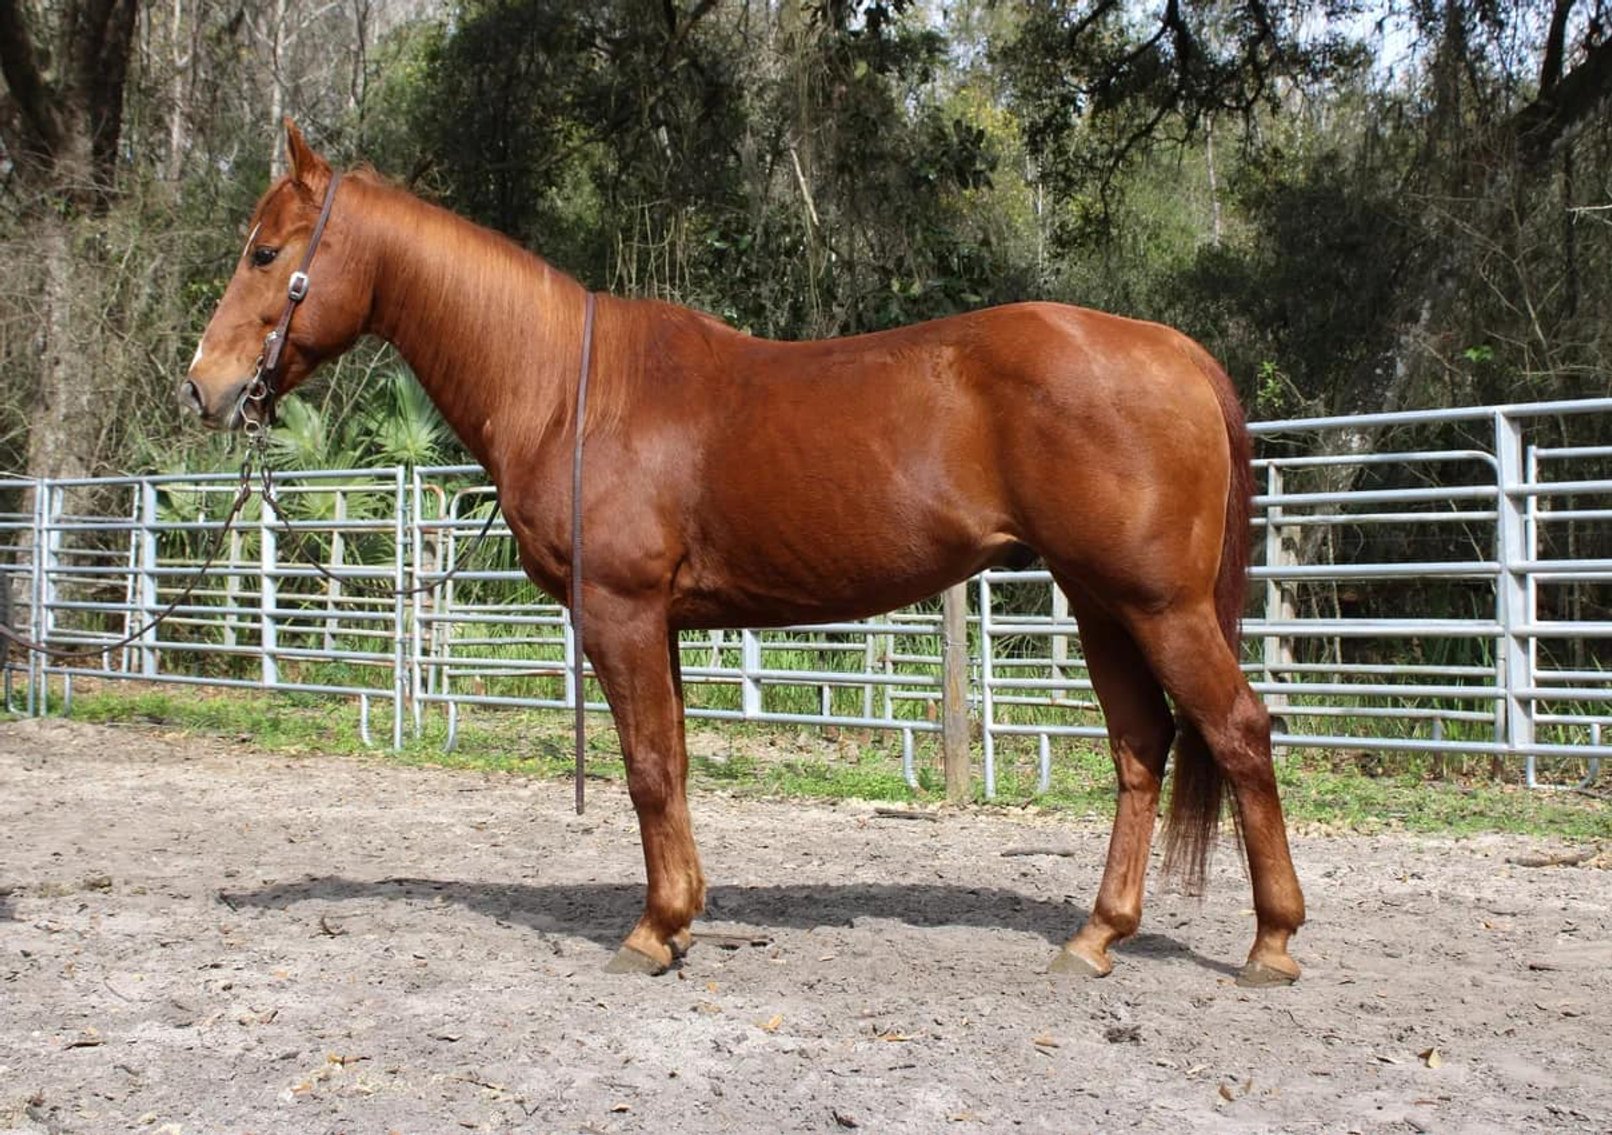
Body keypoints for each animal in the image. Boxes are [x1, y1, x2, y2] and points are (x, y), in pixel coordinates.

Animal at [181, 121, 1305, 986]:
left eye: (266, 252)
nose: (204, 384)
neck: (567, 390)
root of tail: (1174, 352)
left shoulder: (621, 611)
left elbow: (645, 768)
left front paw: (653, 932)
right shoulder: (661, 623)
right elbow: (672, 761)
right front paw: (679, 915)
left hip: (1157, 605)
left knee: (1239, 732)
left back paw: (1272, 942)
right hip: (1101, 602)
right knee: (1141, 750)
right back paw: (1095, 936)